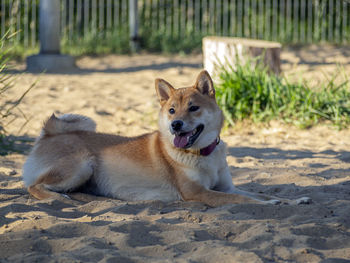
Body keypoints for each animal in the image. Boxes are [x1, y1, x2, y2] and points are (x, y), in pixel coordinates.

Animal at [21, 71, 310, 207]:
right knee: (34, 186)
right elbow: (245, 201)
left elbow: (257, 193)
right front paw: (272, 203)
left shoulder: (226, 187)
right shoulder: (199, 193)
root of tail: (50, 132)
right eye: (171, 110)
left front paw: (292, 200)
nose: (175, 125)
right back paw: (57, 199)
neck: (202, 155)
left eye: (193, 108)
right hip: (81, 166)